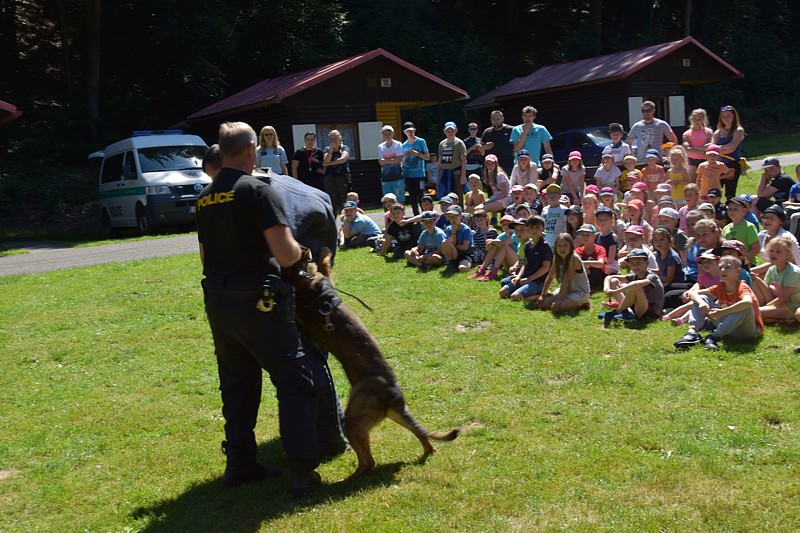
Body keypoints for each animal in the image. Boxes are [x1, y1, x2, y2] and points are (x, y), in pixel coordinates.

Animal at [282, 247, 460, 480]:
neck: (307, 278)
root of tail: (393, 398)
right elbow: (327, 265)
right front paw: (325, 253)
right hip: (394, 417)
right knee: (423, 437)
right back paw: (427, 449)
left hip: (354, 420)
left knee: (368, 462)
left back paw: (347, 480)